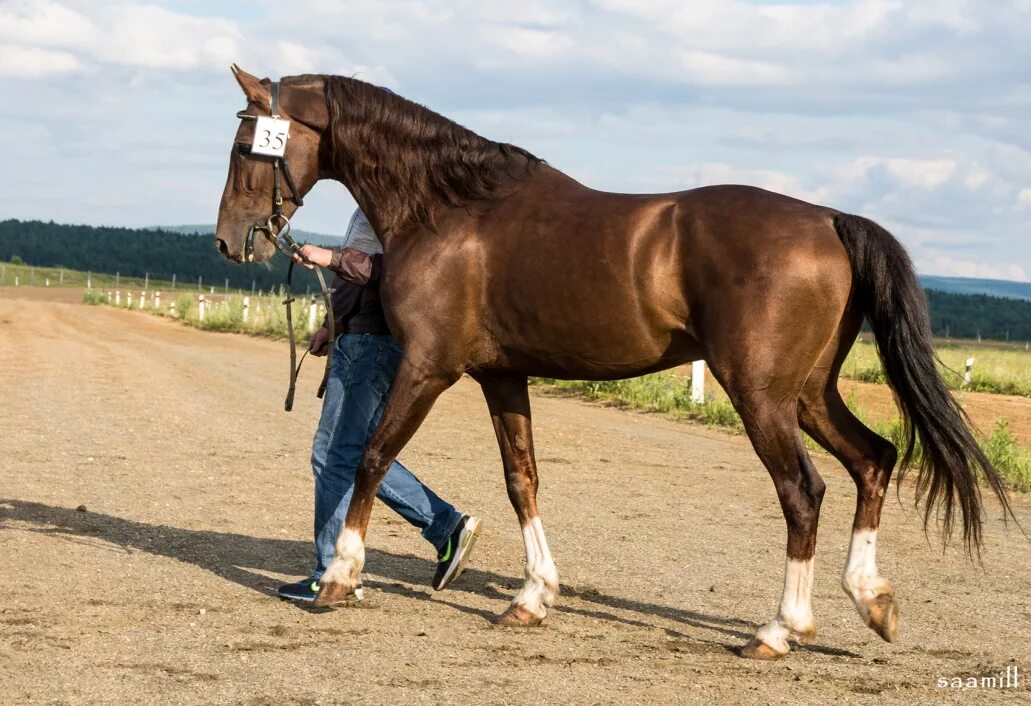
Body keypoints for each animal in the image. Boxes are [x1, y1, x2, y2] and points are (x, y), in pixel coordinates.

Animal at [213, 65, 1010, 655]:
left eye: (248, 145)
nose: (231, 240)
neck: (449, 208)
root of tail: (829, 220)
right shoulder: (500, 376)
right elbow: (522, 480)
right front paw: (532, 598)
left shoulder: (428, 368)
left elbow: (371, 457)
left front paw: (339, 578)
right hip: (808, 392)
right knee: (874, 458)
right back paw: (871, 600)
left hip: (761, 395)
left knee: (803, 492)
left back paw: (780, 630)